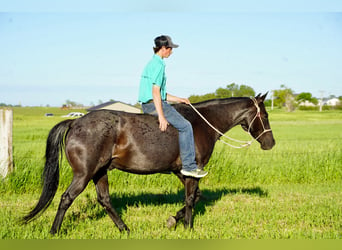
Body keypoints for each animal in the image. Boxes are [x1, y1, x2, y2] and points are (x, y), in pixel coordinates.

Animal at [22, 93, 276, 233]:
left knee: (105, 200)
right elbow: (191, 198)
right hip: (84, 174)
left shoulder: (182, 172)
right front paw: (187, 226)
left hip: (100, 172)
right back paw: (54, 231)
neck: (201, 123)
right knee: (66, 198)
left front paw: (174, 219)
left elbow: (195, 196)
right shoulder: (193, 170)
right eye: (264, 116)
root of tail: (75, 123)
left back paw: (125, 229)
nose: (271, 143)